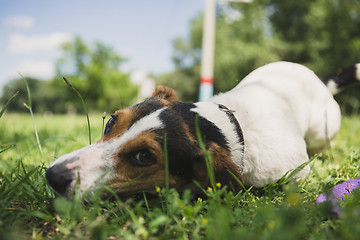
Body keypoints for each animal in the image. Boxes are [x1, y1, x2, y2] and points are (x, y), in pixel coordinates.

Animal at [45, 61, 360, 198]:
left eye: (144, 157)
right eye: (111, 121)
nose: (53, 175)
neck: (232, 125)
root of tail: (321, 81)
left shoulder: (295, 172)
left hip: (323, 129)